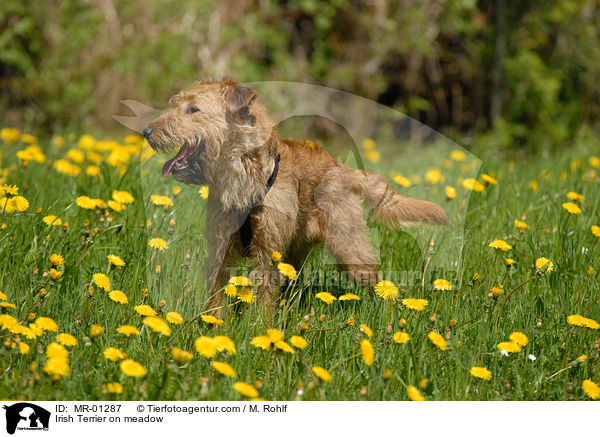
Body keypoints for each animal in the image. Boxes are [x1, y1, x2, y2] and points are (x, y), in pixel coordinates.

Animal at [143, 78, 448, 314]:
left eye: (193, 109)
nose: (146, 131)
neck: (241, 176)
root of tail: (341, 168)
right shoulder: (220, 246)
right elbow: (217, 299)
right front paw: (213, 327)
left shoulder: (268, 252)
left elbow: (262, 299)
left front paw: (256, 330)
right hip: (296, 252)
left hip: (350, 247)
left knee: (375, 281)